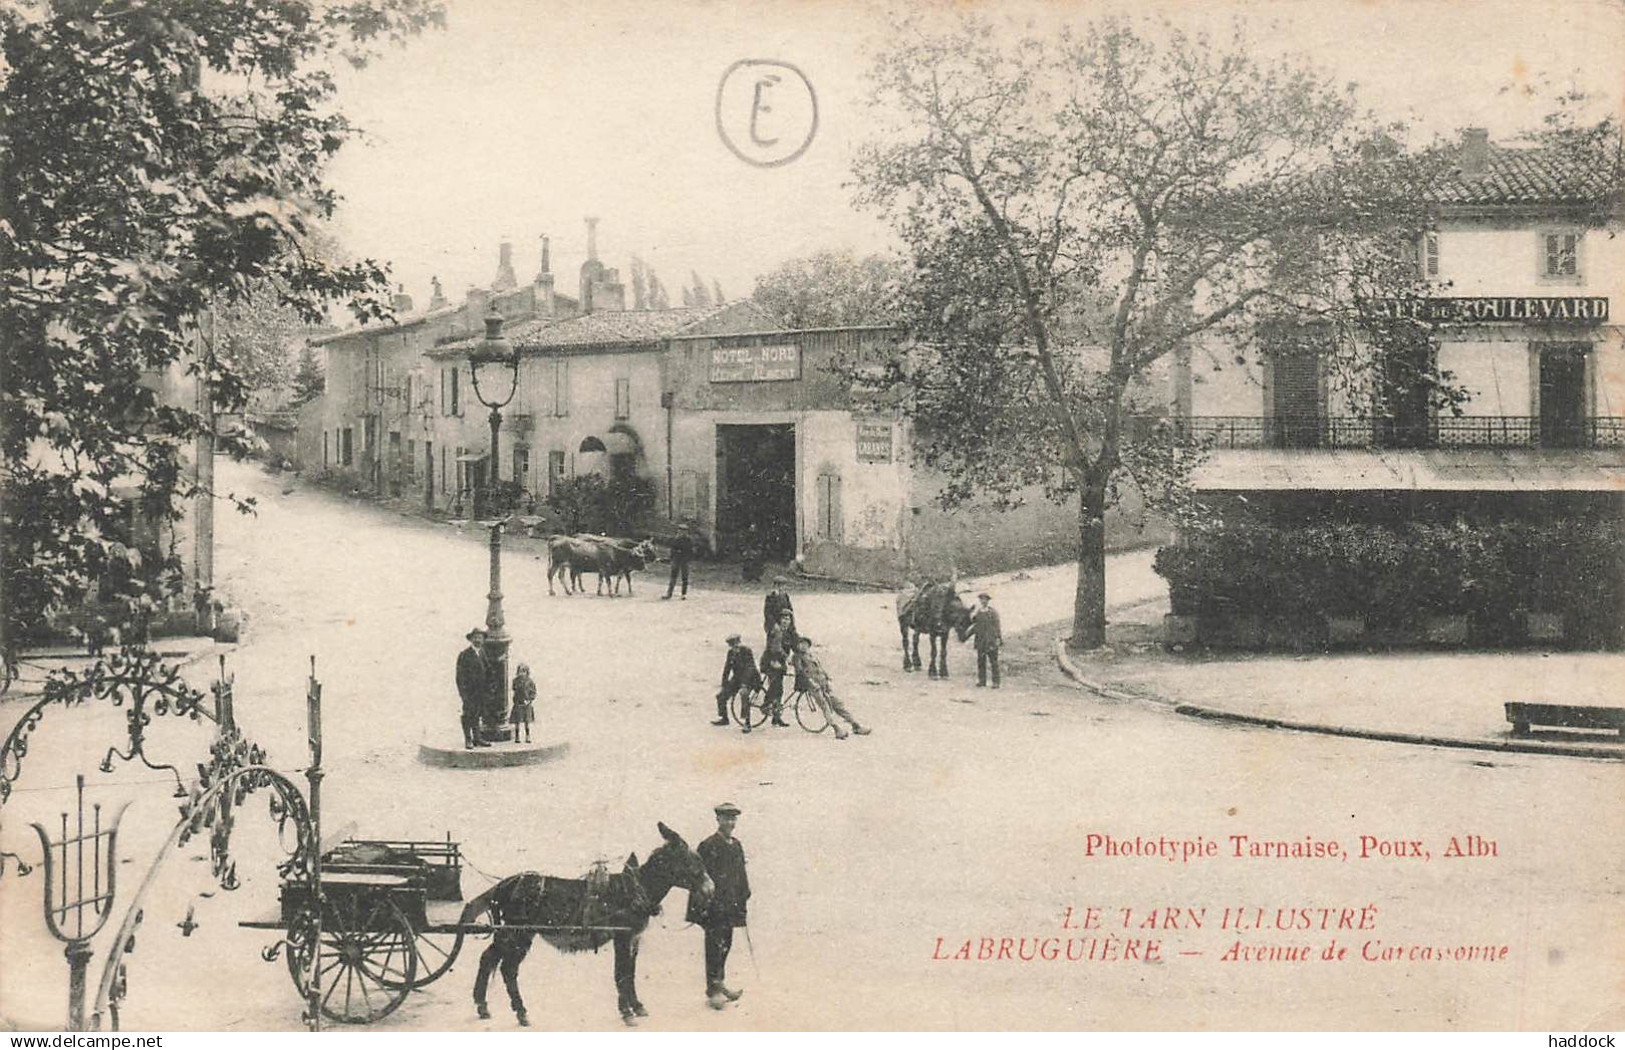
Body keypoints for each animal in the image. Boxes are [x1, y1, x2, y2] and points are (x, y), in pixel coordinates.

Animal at [461, 822, 708, 1027]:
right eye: (690, 861)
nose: (710, 888)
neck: (636, 890)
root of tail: (503, 885)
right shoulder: (622, 936)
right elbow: (621, 972)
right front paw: (627, 1013)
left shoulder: (634, 938)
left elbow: (631, 972)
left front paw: (637, 1006)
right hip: (519, 934)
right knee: (508, 968)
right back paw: (521, 1013)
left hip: (509, 934)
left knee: (488, 958)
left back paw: (483, 1007)